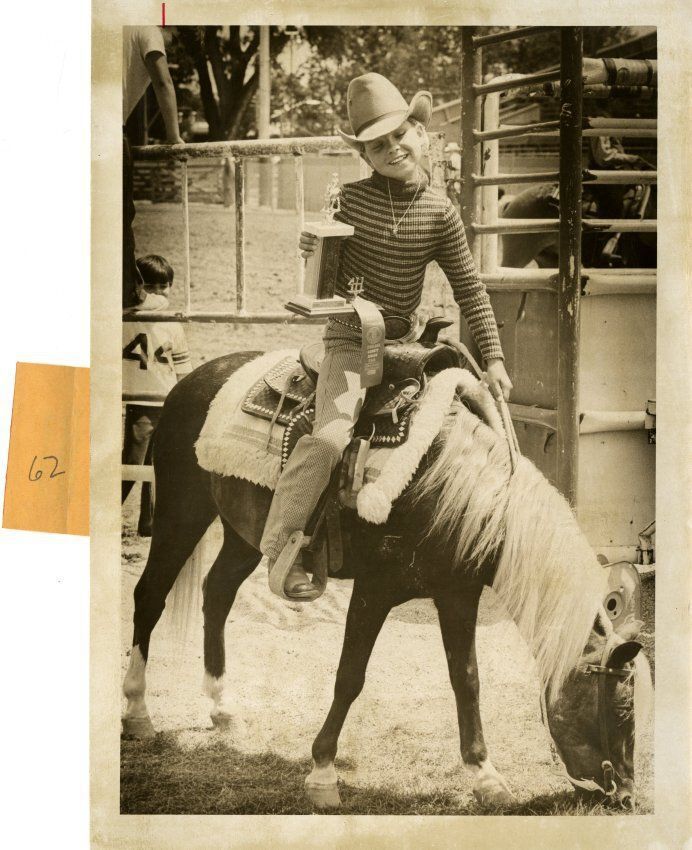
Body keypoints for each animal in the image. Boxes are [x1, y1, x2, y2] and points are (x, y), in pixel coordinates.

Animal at [122, 350, 652, 811]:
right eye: (623, 711)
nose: (626, 796)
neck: (447, 488)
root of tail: (193, 379)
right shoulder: (374, 591)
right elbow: (350, 677)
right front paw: (322, 773)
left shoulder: (457, 594)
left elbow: (467, 679)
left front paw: (485, 776)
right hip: (181, 511)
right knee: (149, 596)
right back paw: (138, 711)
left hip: (243, 534)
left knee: (217, 593)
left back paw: (221, 706)